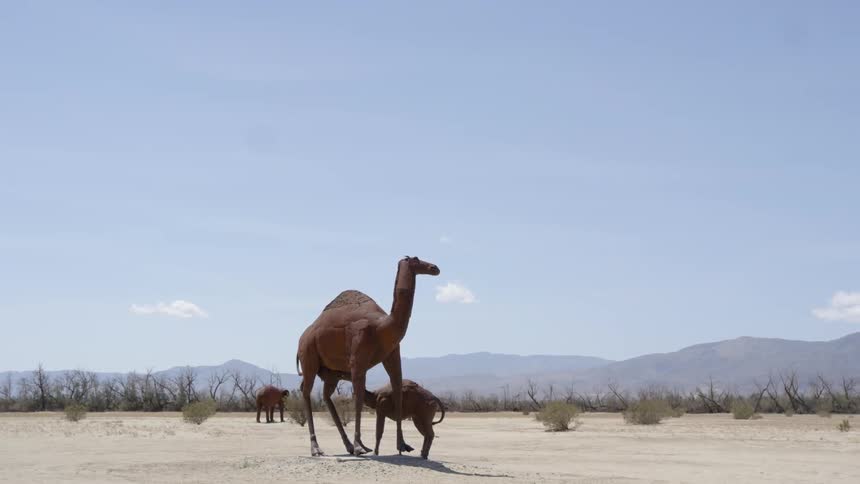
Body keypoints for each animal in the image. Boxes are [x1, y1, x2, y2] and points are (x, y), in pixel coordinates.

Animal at [296, 256, 440, 457]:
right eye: (416, 259)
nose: (435, 267)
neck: (383, 327)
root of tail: (300, 339)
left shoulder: (392, 355)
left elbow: (397, 389)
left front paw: (402, 445)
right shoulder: (358, 359)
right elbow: (358, 398)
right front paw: (360, 446)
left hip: (330, 372)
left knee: (325, 394)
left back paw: (348, 446)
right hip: (308, 356)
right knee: (306, 391)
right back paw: (317, 448)